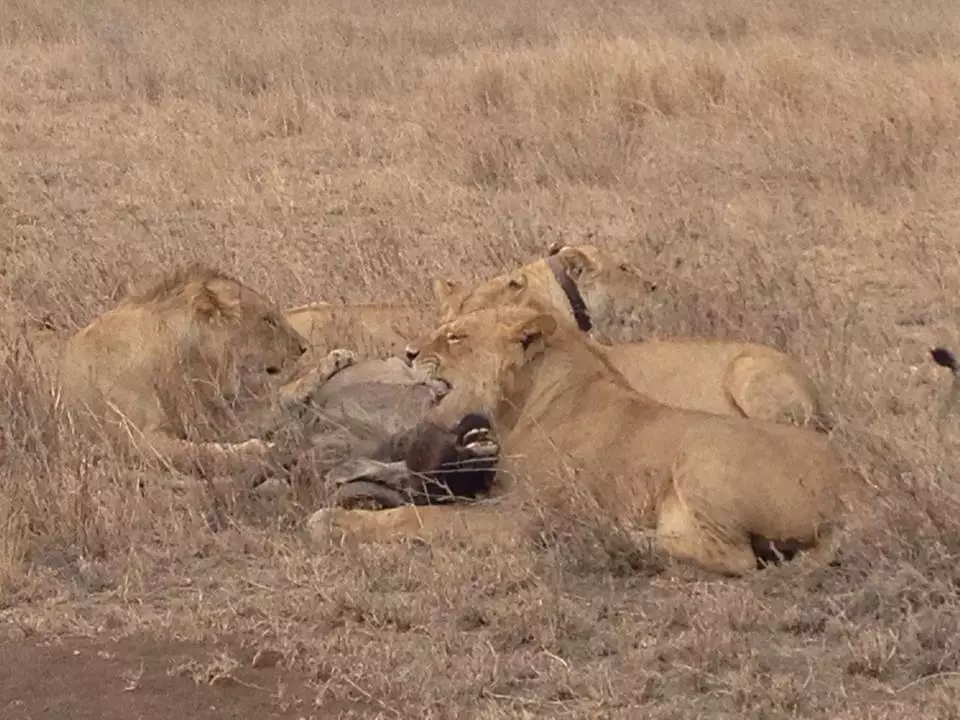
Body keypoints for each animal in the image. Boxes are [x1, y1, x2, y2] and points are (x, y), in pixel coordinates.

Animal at [55, 262, 352, 480]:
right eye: (268, 320)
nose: (303, 347)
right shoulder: (137, 440)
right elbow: (202, 453)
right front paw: (260, 449)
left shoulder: (215, 419)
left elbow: (281, 396)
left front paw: (336, 359)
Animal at [310, 304, 856, 580]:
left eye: (456, 337)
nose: (407, 352)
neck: (519, 400)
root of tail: (855, 493)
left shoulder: (520, 515)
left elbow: (421, 518)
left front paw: (336, 521)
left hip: (704, 451)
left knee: (735, 557)